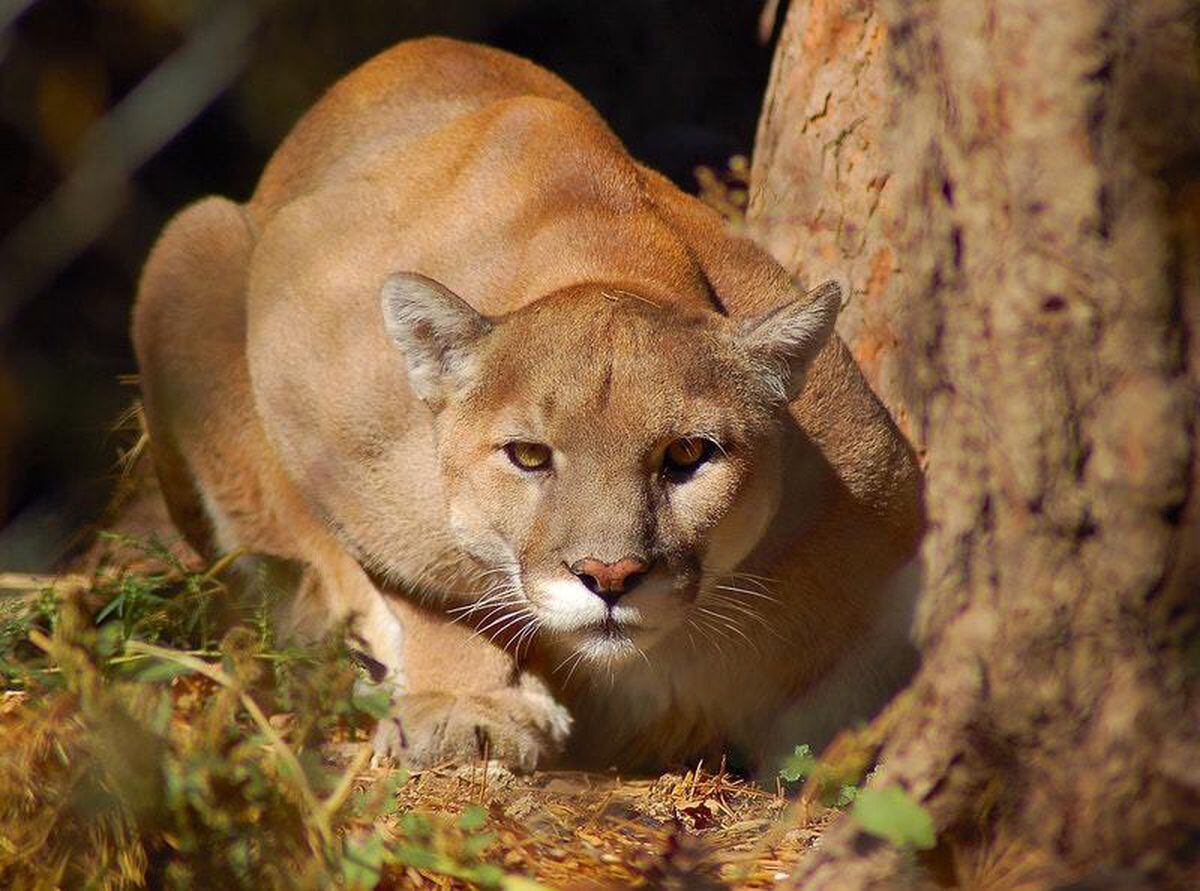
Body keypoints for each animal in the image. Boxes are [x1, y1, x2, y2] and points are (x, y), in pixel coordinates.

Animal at [131, 36, 921, 773]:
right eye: (529, 456)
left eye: (689, 455)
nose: (610, 576)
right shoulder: (310, 382)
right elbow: (427, 581)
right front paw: (468, 706)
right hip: (194, 244)